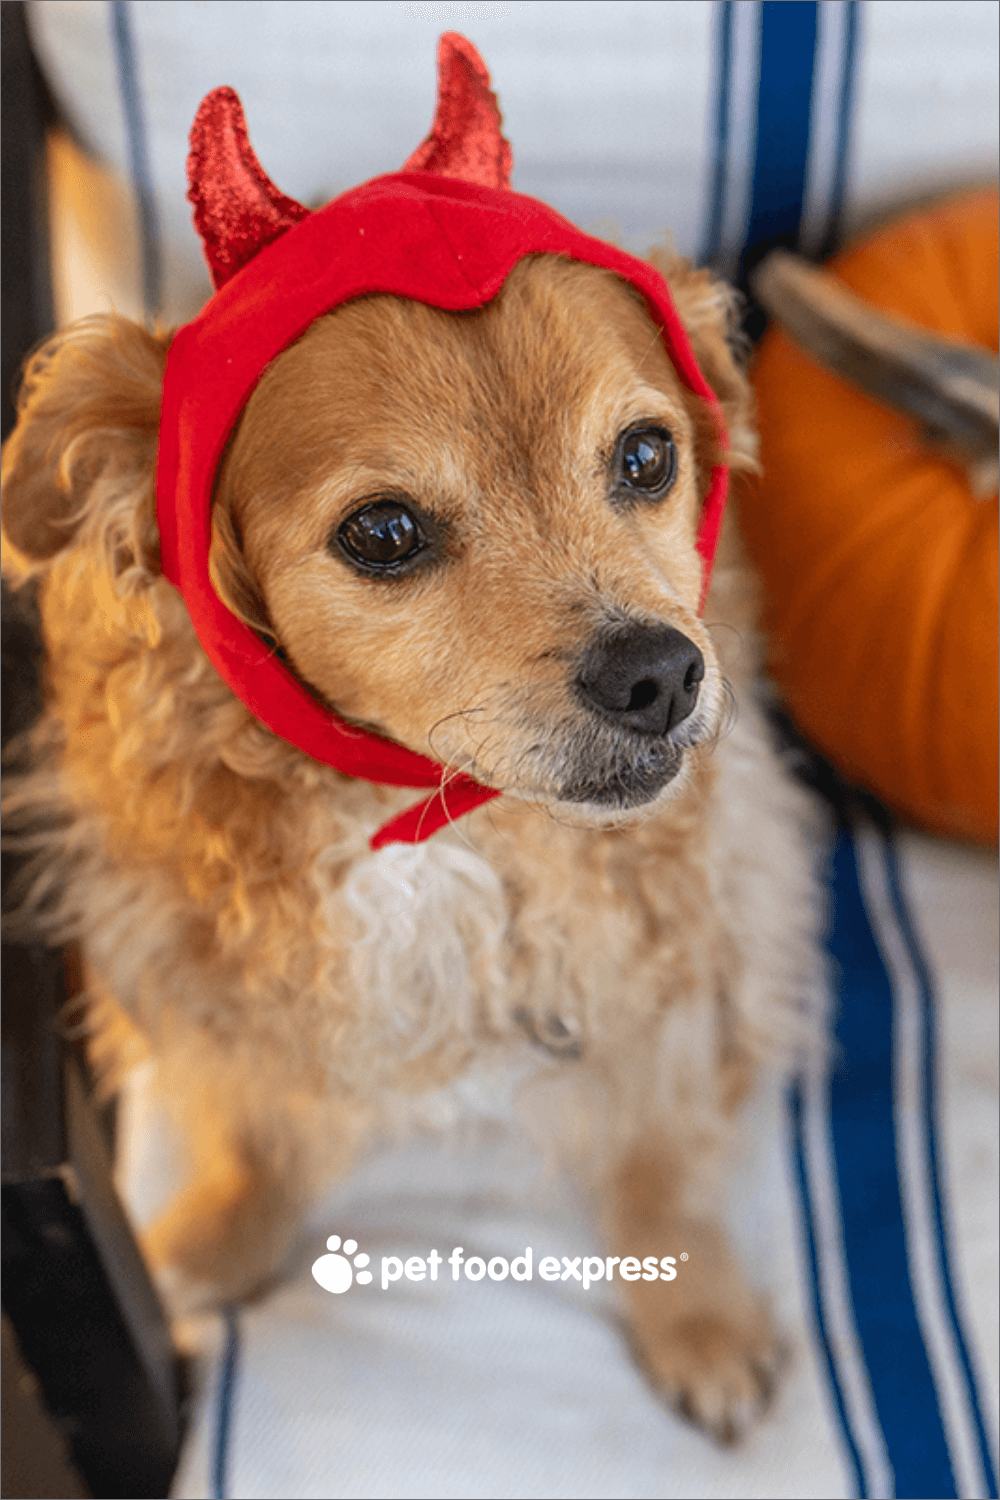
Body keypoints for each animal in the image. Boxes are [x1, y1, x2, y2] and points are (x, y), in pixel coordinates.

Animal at [1, 38, 821, 1440]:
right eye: (383, 532)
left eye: (645, 456)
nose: (660, 673)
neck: (423, 827)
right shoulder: (198, 973)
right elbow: (254, 1129)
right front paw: (216, 1244)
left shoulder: (696, 957)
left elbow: (661, 1159)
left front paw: (700, 1317)